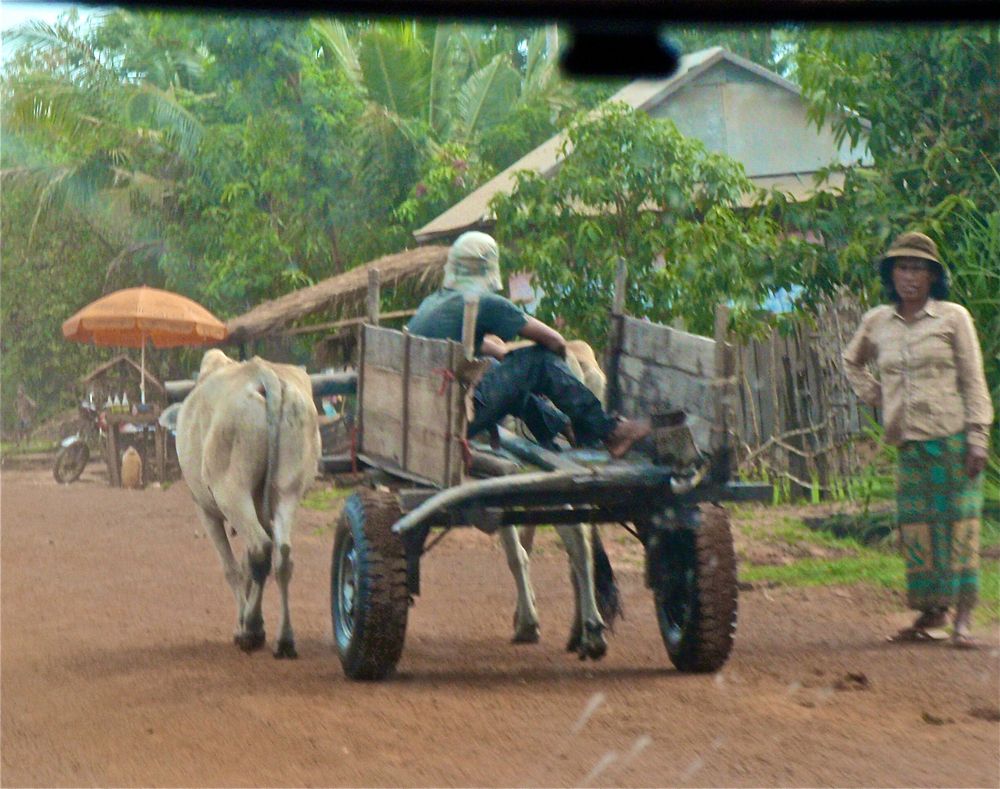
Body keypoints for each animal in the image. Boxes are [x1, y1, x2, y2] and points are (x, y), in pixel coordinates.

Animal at [166, 348, 318, 656]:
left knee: (260, 548)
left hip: (231, 491)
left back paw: (250, 628)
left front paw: (243, 625)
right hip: (288, 490)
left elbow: (232, 569)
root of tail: (264, 376)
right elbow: (249, 567)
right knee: (282, 556)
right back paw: (284, 639)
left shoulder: (204, 509)